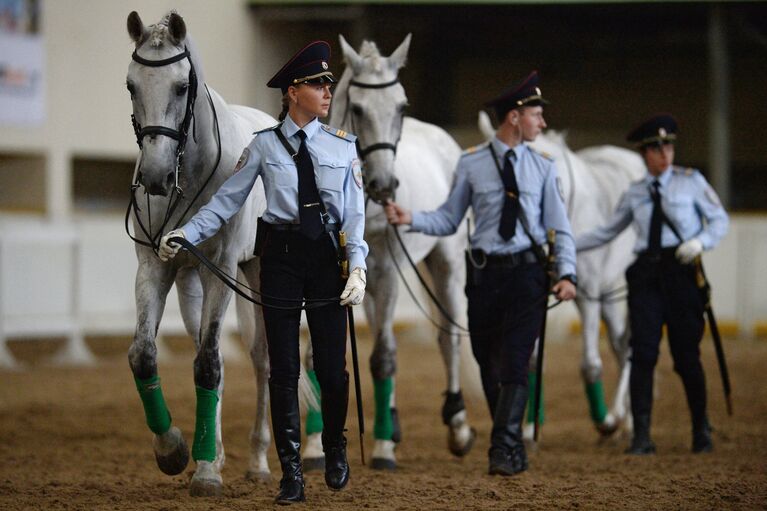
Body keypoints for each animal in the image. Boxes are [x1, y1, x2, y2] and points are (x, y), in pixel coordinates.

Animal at [126, 11, 280, 496]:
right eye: (131, 85)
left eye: (180, 86)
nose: (154, 176)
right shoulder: (154, 267)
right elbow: (144, 355)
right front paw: (175, 451)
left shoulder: (223, 271)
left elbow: (210, 364)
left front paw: (208, 473)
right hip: (190, 279)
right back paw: (214, 451)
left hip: (257, 274)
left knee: (263, 360)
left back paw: (259, 460)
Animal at [300, 34, 474, 470]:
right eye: (359, 108)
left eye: (401, 106)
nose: (383, 184)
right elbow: (316, 356)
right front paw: (313, 447)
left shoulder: (391, 271)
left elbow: (383, 357)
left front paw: (380, 450)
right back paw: (391, 423)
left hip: (445, 264)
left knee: (447, 338)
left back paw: (457, 426)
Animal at [480, 113, 648, 440]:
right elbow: (531, 360)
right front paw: (529, 427)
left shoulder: (586, 294)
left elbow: (590, 364)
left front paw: (605, 422)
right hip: (608, 294)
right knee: (621, 346)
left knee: (632, 347)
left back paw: (623, 421)